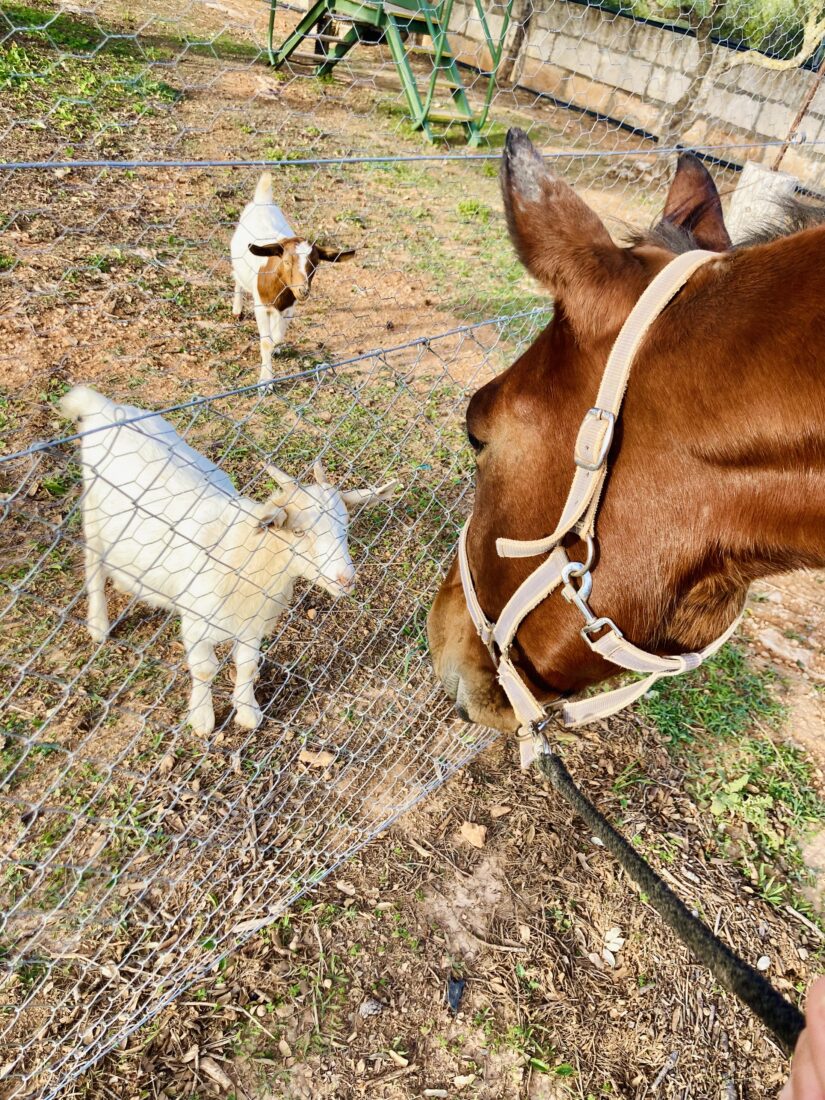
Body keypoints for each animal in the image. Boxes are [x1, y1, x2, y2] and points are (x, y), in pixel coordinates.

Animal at [61, 387, 400, 739]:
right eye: (299, 531)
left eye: (345, 526)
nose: (346, 579)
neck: (244, 554)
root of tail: (104, 408)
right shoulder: (196, 623)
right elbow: (204, 669)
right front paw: (202, 718)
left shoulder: (252, 622)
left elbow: (248, 665)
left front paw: (248, 712)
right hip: (93, 515)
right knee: (93, 566)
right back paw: (98, 625)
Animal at [229, 169, 356, 380]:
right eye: (287, 261)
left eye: (315, 264)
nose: (303, 290)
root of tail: (263, 200)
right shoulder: (260, 306)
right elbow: (266, 342)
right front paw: (266, 379)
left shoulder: (290, 307)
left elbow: (278, 336)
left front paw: (277, 347)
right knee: (237, 278)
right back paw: (237, 309)